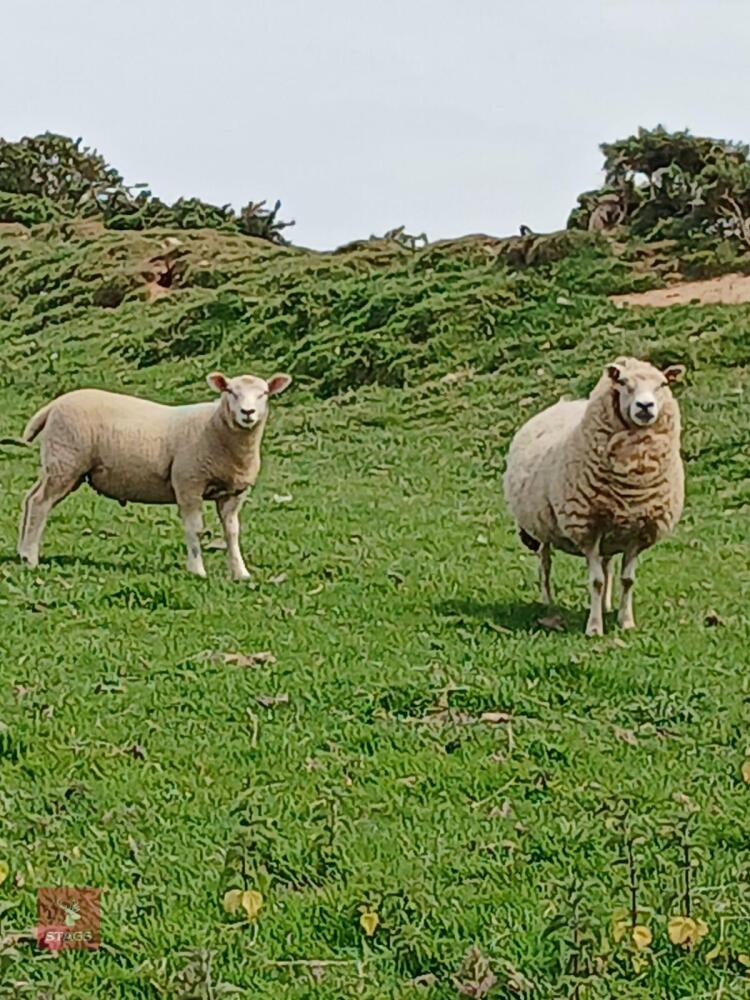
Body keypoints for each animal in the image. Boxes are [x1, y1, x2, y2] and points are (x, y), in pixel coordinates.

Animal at [17, 370, 292, 578]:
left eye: (263, 394)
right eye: (231, 392)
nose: (248, 413)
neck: (215, 428)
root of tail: (53, 405)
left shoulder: (234, 492)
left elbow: (232, 531)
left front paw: (240, 573)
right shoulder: (188, 482)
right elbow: (195, 529)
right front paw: (197, 570)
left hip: (60, 465)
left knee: (30, 498)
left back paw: (21, 552)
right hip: (66, 461)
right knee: (40, 503)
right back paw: (31, 558)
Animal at [503, 357, 685, 635]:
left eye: (663, 384)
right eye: (623, 382)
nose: (645, 406)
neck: (633, 482)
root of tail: (563, 403)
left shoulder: (639, 529)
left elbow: (627, 580)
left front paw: (626, 621)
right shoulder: (587, 528)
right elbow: (596, 580)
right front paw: (595, 627)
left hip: (611, 531)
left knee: (607, 563)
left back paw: (607, 604)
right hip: (542, 528)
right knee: (545, 565)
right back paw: (547, 601)